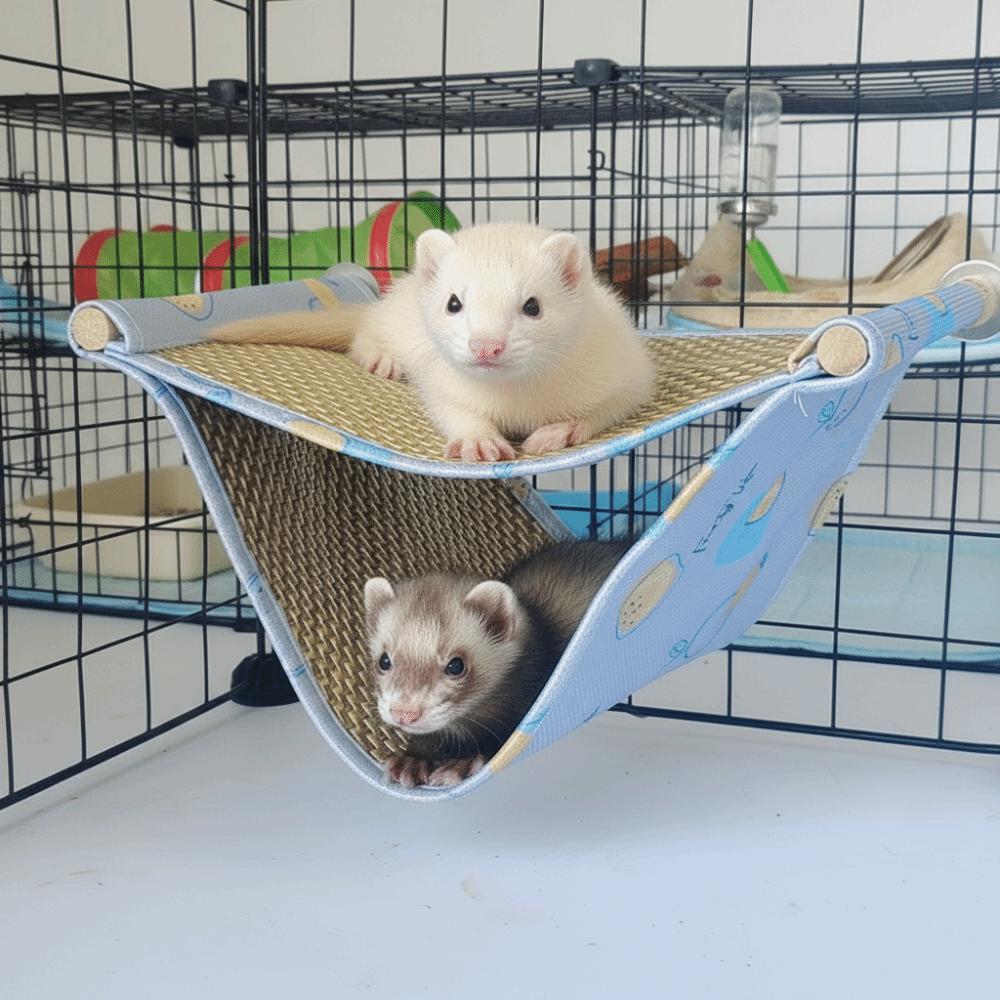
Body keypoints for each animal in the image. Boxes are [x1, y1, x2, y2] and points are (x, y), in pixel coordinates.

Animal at [209, 222, 655, 462]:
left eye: (533, 305)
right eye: (453, 302)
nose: (486, 346)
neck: (517, 403)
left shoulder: (629, 375)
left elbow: (607, 410)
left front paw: (557, 431)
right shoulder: (441, 383)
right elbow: (451, 410)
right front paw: (479, 440)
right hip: (386, 326)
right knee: (363, 336)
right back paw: (382, 359)